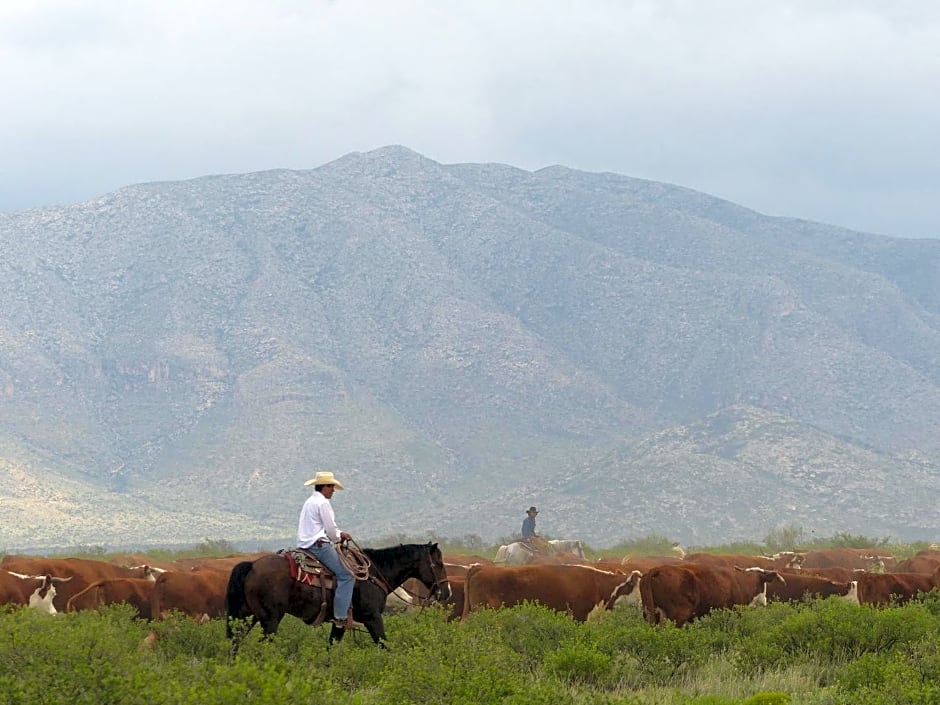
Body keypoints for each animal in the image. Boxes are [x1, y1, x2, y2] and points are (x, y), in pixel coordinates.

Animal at [226, 540, 450, 652]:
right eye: (439, 563)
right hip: (270, 620)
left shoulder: (339, 622)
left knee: (235, 643)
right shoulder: (372, 618)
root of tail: (252, 565)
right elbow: (385, 644)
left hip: (247, 617)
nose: (446, 592)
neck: (374, 573)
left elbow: (331, 647)